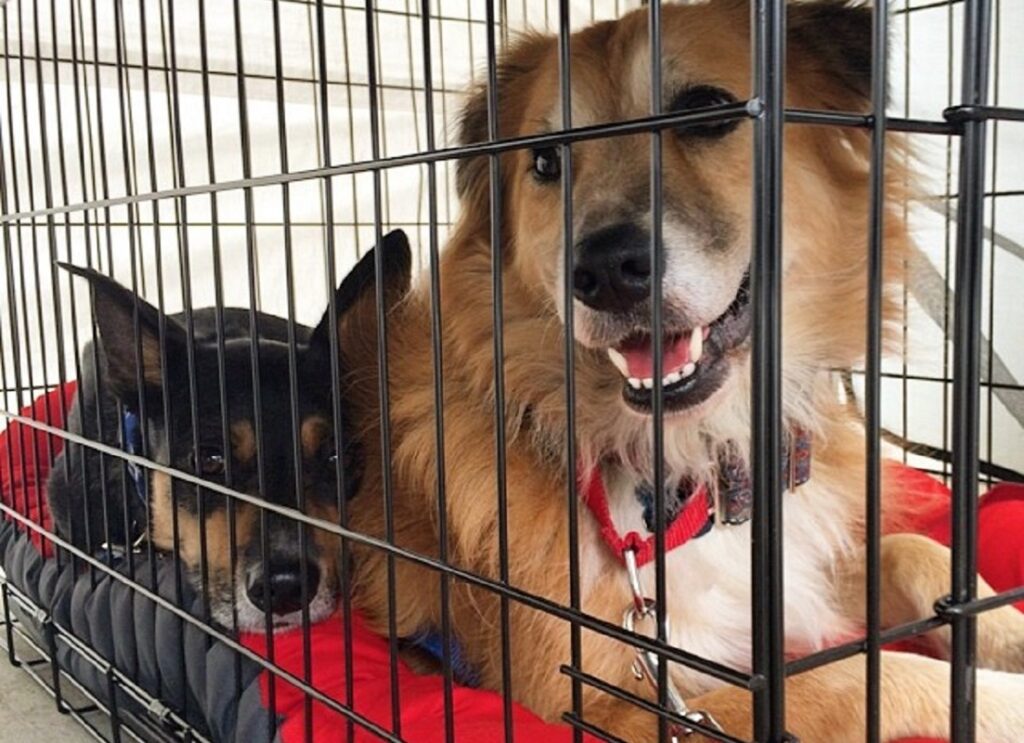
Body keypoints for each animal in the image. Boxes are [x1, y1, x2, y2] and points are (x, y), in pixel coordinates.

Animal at [348, 2, 1024, 740]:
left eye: (706, 112)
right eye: (546, 160)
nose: (606, 271)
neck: (694, 460)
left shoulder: (795, 576)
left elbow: (911, 548)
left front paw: (1008, 636)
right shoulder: (608, 702)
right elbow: (855, 679)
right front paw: (1003, 699)